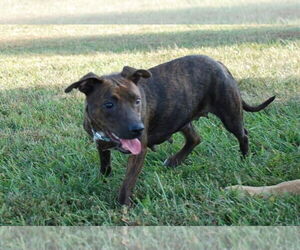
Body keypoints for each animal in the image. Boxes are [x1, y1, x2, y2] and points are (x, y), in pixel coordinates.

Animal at [64, 55, 276, 205]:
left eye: (137, 100)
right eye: (109, 104)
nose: (138, 129)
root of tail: (219, 63)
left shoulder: (138, 152)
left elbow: (127, 182)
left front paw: (122, 207)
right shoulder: (101, 144)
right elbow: (105, 165)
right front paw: (103, 180)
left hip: (230, 114)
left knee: (243, 134)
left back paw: (244, 158)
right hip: (181, 116)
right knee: (195, 138)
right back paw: (174, 161)